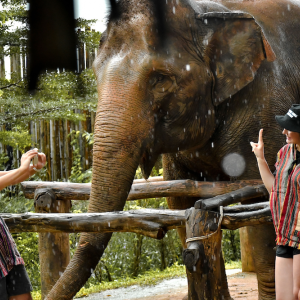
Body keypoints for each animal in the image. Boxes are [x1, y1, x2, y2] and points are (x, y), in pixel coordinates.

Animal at [45, 0, 300, 298]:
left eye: (161, 79)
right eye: (95, 73)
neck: (202, 12)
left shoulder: (265, 107)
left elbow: (262, 208)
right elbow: (181, 202)